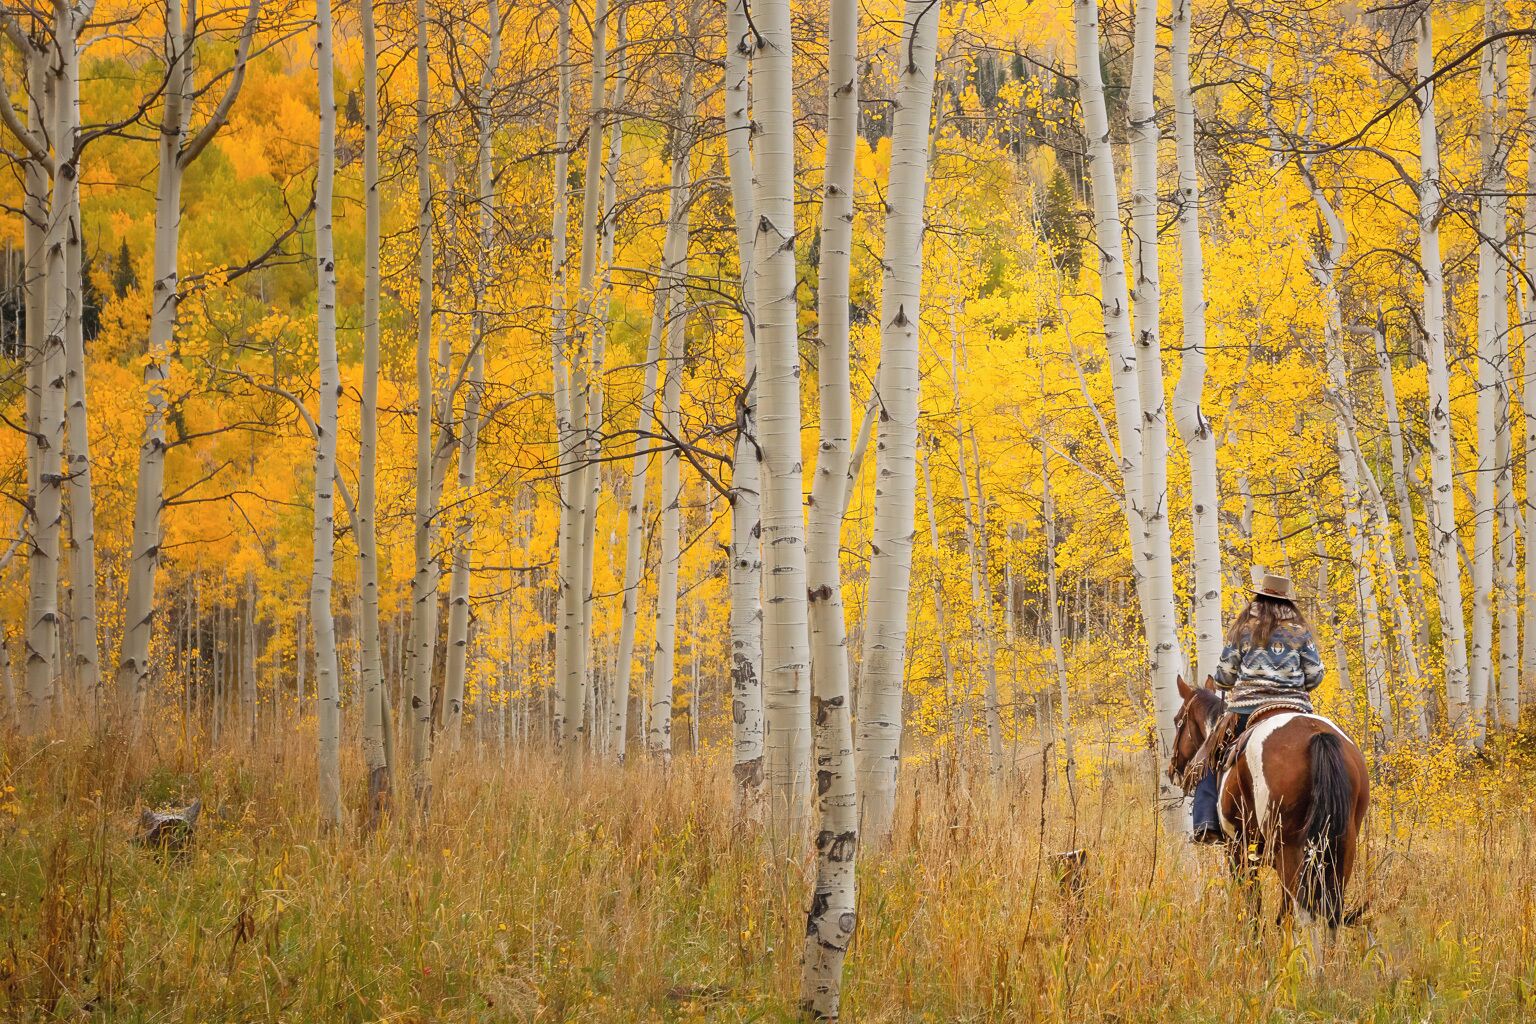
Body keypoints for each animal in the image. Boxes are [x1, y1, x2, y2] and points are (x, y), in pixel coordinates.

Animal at [1168, 675, 1369, 935]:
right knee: (1329, 911)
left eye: (1177, 721)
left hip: (1288, 849)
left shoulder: (1238, 850)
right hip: (1342, 846)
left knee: (1302, 912)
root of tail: (1317, 735)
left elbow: (1253, 908)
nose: (1173, 769)